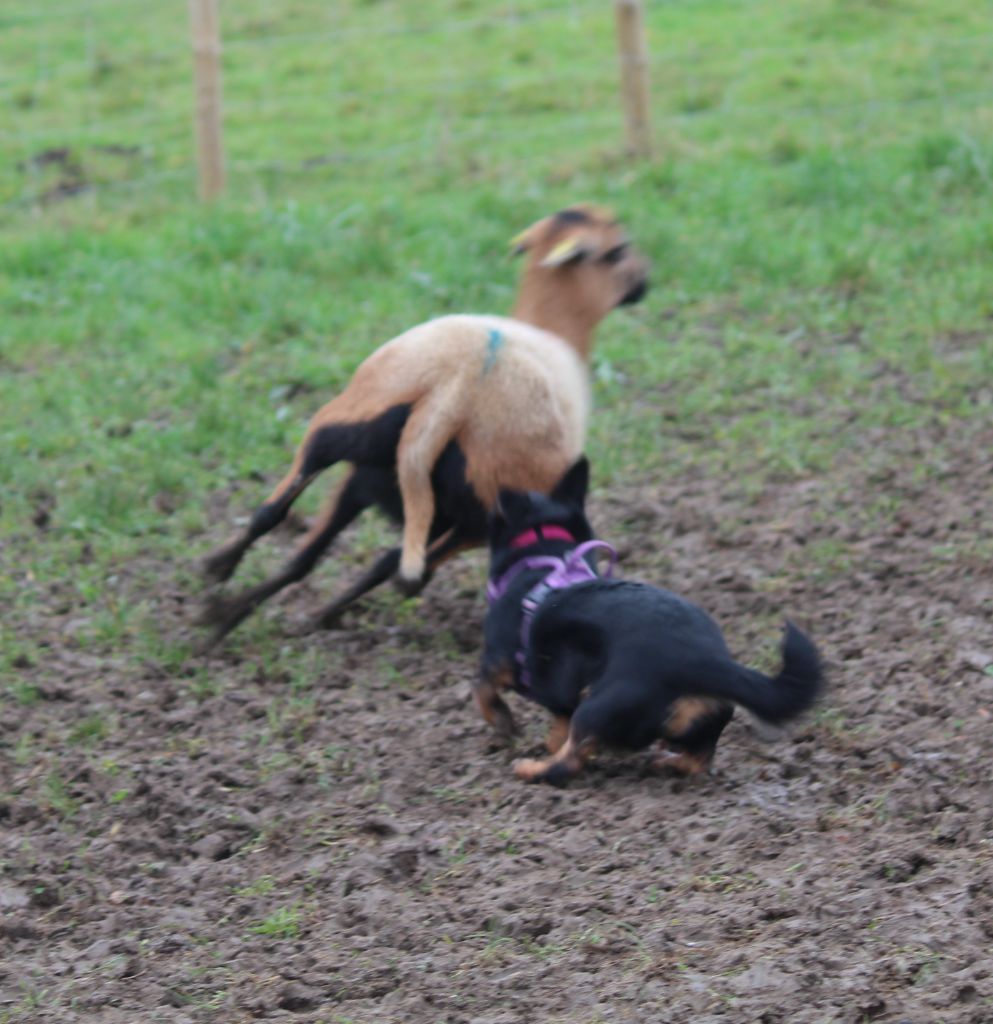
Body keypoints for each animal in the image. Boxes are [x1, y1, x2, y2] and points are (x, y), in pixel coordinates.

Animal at [203, 203, 646, 643]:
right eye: (617, 250)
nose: (644, 283)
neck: (552, 327)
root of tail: (462, 384)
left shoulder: (365, 480)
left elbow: (318, 551)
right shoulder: (484, 522)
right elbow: (400, 571)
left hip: (352, 428)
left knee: (278, 512)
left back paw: (219, 597)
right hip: (475, 507)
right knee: (400, 569)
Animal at [477, 460, 823, 786]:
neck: (545, 551)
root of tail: (703, 658)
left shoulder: (496, 660)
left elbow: (483, 690)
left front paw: (504, 724)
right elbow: (557, 720)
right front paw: (545, 739)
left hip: (600, 704)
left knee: (569, 761)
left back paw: (530, 769)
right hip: (699, 712)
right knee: (699, 757)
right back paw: (666, 762)